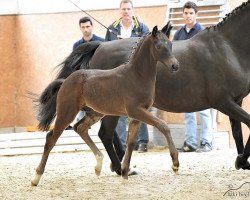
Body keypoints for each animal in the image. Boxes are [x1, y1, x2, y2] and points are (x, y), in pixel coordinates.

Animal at [31, 25, 180, 186]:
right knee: (51, 138)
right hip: (67, 112)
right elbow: (163, 126)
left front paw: (125, 173)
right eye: (159, 46)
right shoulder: (136, 111)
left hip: (96, 113)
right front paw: (175, 164)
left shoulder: (137, 115)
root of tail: (65, 81)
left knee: (80, 128)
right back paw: (36, 177)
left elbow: (131, 142)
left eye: (170, 44)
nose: (175, 65)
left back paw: (98, 164)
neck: (137, 76)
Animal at [53, 0, 250, 173]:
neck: (227, 48)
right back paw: (119, 167)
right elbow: (248, 124)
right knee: (105, 133)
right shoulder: (224, 102)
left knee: (105, 133)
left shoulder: (236, 101)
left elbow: (238, 132)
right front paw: (241, 160)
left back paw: (121, 163)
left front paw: (242, 161)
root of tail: (100, 46)